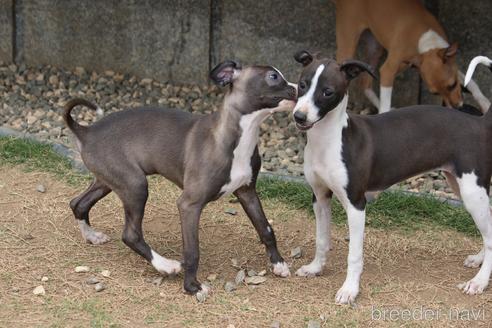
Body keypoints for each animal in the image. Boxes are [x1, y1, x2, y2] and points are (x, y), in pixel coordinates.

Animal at [292, 51, 492, 304]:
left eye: (327, 92)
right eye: (302, 84)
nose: (299, 116)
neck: (330, 139)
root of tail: (479, 122)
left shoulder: (356, 204)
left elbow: (354, 255)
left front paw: (349, 289)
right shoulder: (320, 197)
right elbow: (321, 239)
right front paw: (316, 268)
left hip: (472, 191)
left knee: (490, 237)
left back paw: (480, 281)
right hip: (462, 187)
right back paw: (478, 260)